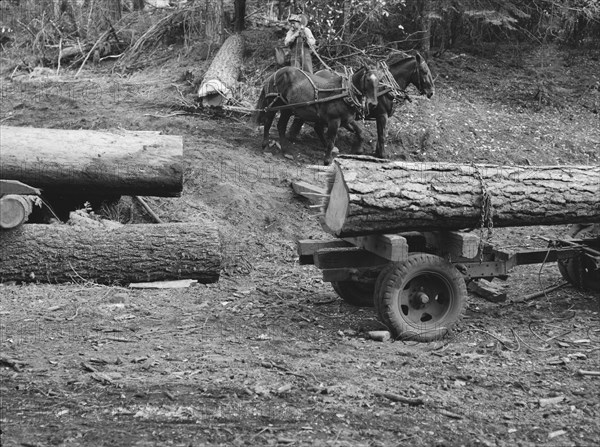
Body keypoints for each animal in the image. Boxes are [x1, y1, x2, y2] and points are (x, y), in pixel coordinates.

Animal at [288, 51, 434, 159]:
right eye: (424, 71)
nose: (431, 92)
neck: (386, 86)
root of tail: (316, 73)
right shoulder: (382, 115)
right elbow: (381, 135)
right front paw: (381, 155)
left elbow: (380, 133)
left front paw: (376, 152)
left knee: (314, 125)